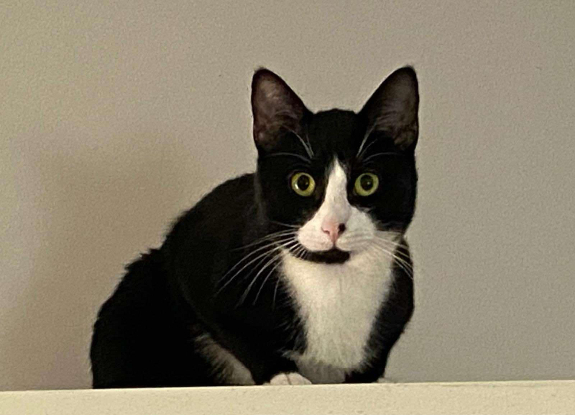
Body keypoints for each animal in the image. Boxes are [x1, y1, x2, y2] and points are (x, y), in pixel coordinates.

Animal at [90, 66, 419, 387]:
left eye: (367, 182)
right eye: (302, 182)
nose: (333, 226)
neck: (332, 280)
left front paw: (373, 379)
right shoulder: (195, 259)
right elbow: (236, 334)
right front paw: (284, 374)